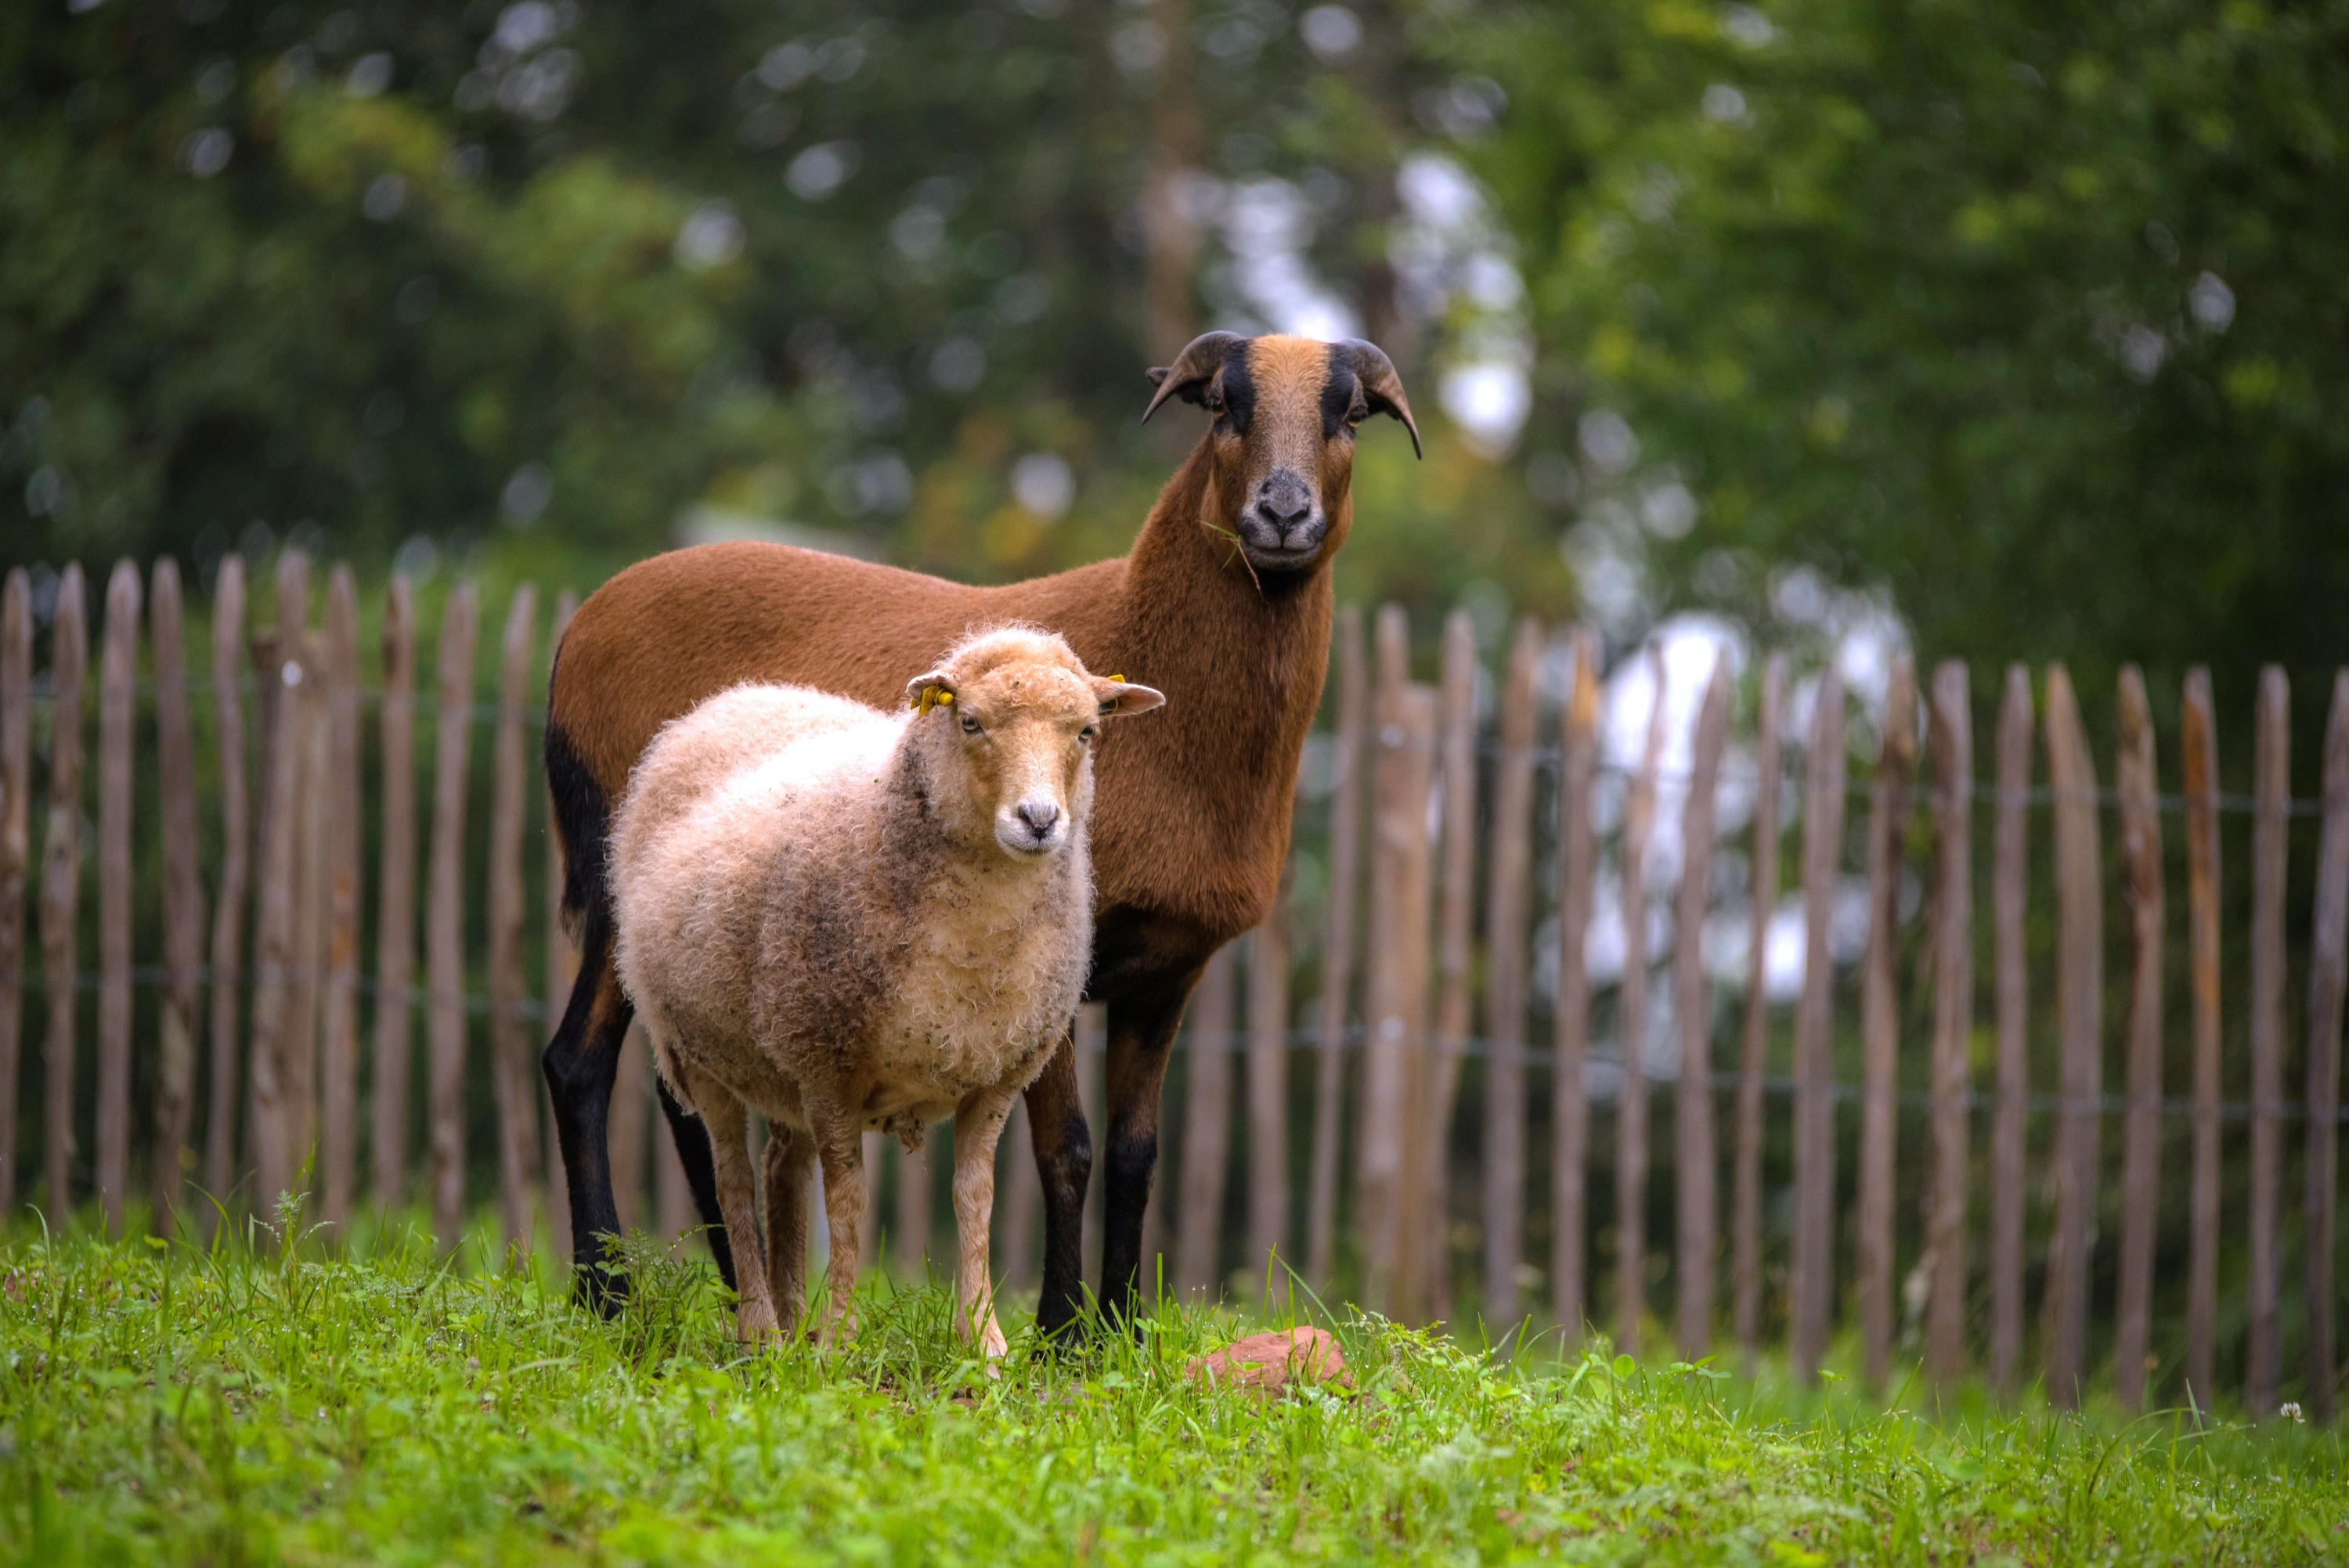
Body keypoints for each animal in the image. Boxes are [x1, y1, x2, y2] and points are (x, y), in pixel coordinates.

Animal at [609, 627, 1165, 1349]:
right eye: (970, 721)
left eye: (1087, 732)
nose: (1040, 819)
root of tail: (739, 697)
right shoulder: (829, 1065)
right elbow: (849, 1203)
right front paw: (841, 1341)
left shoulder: (996, 1076)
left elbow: (973, 1199)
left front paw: (983, 1340)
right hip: (702, 1050)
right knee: (733, 1178)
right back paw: (762, 1329)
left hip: (781, 1054)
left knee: (781, 1168)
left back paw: (791, 1322)